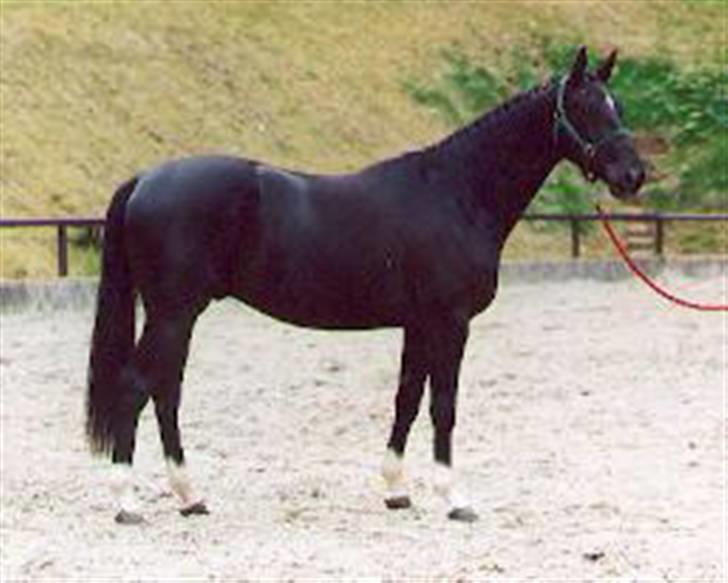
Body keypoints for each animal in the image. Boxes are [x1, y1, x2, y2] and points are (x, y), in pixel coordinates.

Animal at [84, 46, 644, 524]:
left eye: (616, 107)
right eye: (585, 108)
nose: (633, 175)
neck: (456, 193)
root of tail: (145, 180)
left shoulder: (419, 324)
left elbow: (407, 399)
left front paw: (397, 490)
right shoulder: (450, 322)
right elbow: (444, 406)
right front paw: (454, 499)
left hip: (176, 316)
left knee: (164, 393)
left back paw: (189, 496)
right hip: (173, 314)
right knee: (137, 389)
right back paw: (128, 502)